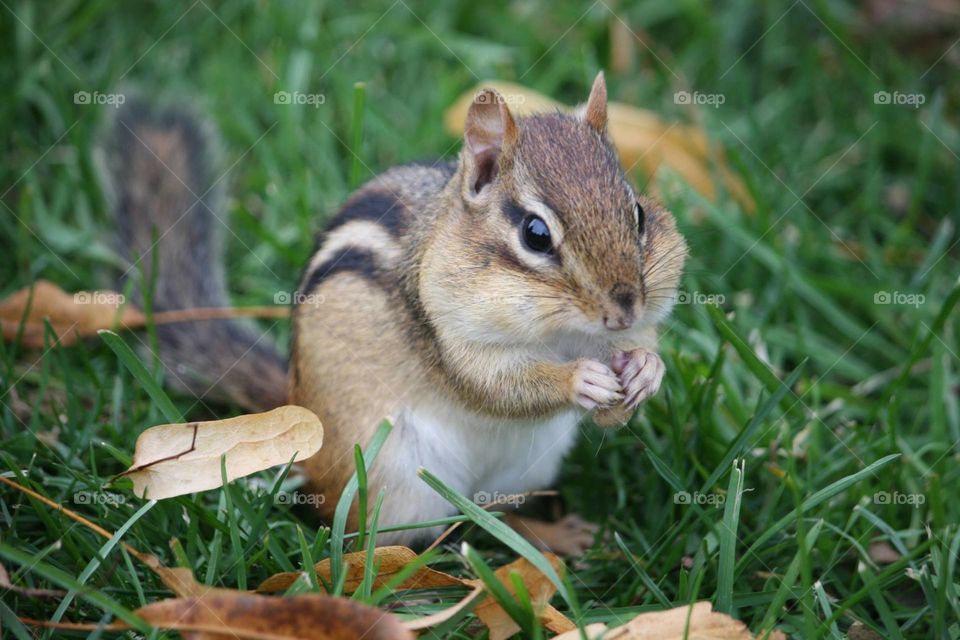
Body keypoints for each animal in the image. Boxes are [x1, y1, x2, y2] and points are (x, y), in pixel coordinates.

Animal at [100, 72, 687, 555]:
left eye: (638, 213)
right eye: (536, 234)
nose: (624, 310)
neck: (561, 335)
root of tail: (296, 404)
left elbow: (629, 377)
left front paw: (646, 372)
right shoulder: (446, 333)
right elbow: (492, 386)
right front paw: (580, 380)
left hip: (528, 466)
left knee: (495, 515)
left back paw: (558, 537)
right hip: (392, 479)